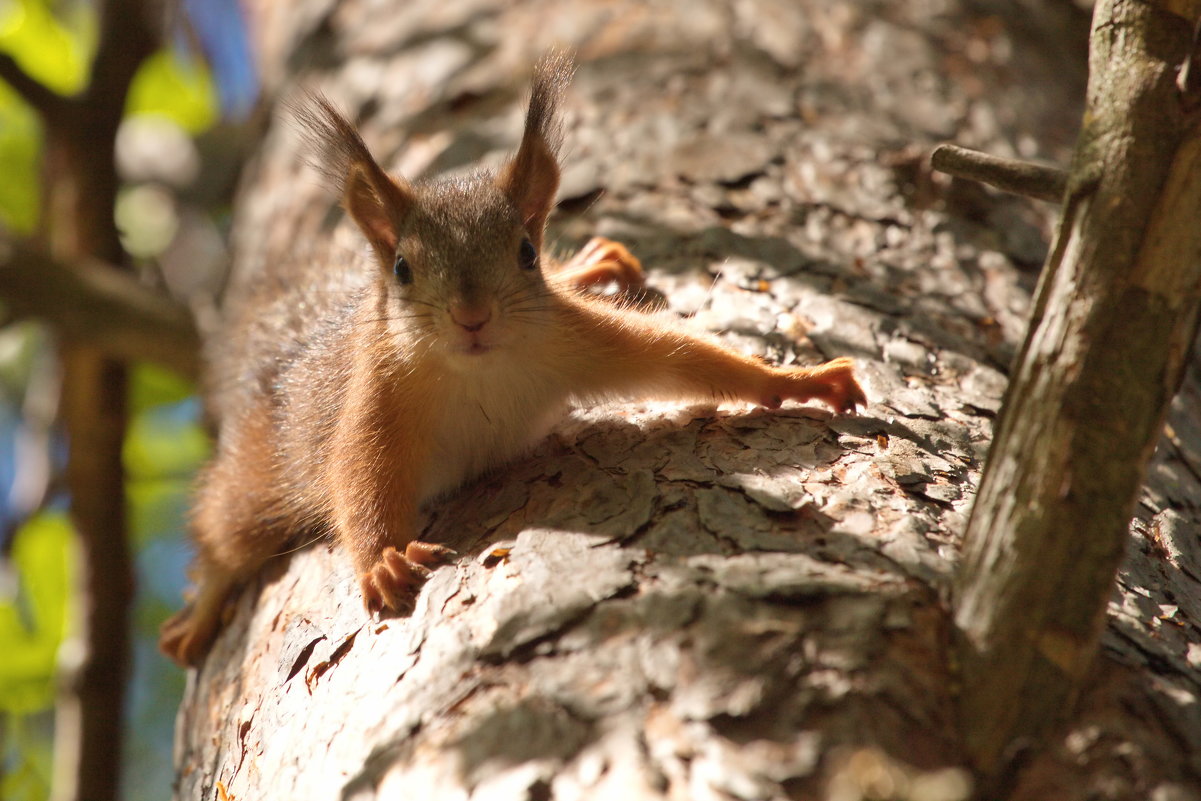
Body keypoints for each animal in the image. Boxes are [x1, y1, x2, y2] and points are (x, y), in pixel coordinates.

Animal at [162, 56, 864, 667]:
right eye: (402, 268)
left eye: (526, 252)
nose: (472, 317)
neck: (482, 372)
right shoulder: (376, 393)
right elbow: (359, 473)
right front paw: (381, 560)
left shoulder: (574, 338)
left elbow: (683, 359)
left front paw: (798, 380)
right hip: (263, 470)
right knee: (228, 529)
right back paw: (203, 608)